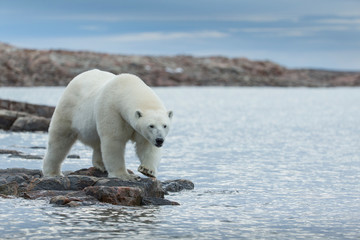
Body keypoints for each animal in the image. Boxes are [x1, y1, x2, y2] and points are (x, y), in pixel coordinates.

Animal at [41, 69, 174, 180]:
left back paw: (101, 165)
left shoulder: (140, 130)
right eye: (151, 125)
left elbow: (146, 145)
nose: (159, 140)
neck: (126, 88)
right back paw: (53, 172)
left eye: (165, 125)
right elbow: (113, 141)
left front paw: (147, 170)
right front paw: (125, 175)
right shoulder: (111, 109)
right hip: (69, 108)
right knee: (59, 140)